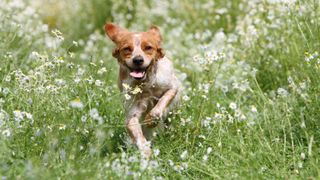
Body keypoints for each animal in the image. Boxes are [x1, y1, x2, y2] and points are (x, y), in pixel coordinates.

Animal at [104, 23, 180, 157]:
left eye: (148, 47)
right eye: (127, 49)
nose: (138, 60)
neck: (145, 84)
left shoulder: (172, 87)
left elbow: (162, 102)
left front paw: (151, 119)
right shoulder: (132, 113)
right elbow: (136, 131)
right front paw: (145, 151)